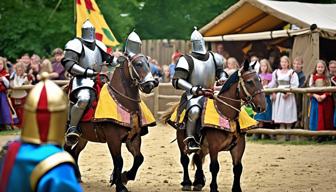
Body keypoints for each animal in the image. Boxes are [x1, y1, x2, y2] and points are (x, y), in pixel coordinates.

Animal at [65, 53, 159, 192]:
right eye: (138, 64)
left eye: (149, 64)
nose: (150, 84)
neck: (123, 102)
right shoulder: (113, 140)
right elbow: (119, 161)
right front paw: (119, 185)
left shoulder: (133, 138)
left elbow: (139, 158)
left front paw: (125, 177)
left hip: (83, 137)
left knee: (74, 152)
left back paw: (77, 177)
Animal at [164, 60, 266, 192]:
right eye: (249, 81)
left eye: (260, 79)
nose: (262, 106)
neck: (226, 113)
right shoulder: (214, 146)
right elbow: (214, 167)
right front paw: (213, 188)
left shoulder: (239, 146)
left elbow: (238, 168)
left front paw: (236, 189)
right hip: (182, 140)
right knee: (185, 160)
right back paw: (186, 183)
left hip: (202, 147)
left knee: (198, 159)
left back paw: (198, 182)